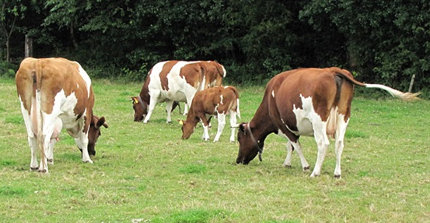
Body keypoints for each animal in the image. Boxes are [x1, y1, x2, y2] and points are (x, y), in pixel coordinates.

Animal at [235, 66, 420, 178]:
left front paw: (305, 166)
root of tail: (332, 70)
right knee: (339, 143)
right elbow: (290, 146)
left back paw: (315, 172)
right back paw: (337, 172)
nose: (238, 160)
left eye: (239, 138)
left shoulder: (283, 125)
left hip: (319, 120)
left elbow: (295, 145)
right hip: (344, 116)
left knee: (323, 143)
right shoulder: (291, 126)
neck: (269, 100)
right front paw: (287, 163)